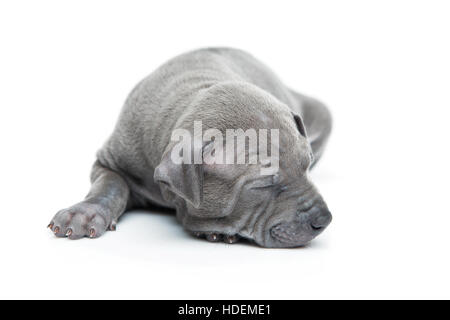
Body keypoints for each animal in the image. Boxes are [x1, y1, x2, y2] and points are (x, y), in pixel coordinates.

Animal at [47, 47, 332, 248]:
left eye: (306, 166)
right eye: (263, 185)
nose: (324, 220)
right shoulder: (111, 160)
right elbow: (110, 184)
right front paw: (83, 213)